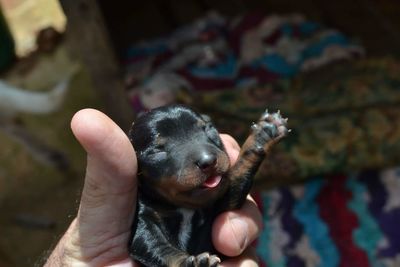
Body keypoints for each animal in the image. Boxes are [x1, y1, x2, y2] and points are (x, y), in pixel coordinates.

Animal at [128, 105, 288, 266]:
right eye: (157, 151)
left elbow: (237, 176)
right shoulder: (142, 221)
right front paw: (191, 263)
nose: (208, 161)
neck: (185, 207)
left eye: (207, 129)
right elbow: (157, 246)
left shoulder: (218, 206)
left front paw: (263, 135)